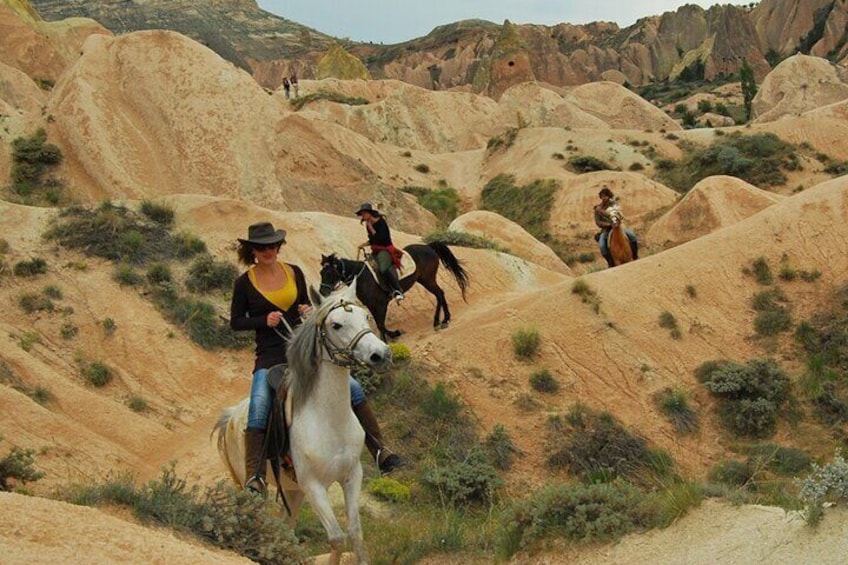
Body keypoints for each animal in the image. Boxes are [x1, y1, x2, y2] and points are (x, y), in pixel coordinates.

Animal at [215, 284, 394, 560]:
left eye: (365, 317)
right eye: (336, 325)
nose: (381, 355)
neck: (329, 420)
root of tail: (231, 416)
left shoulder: (352, 475)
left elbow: (355, 533)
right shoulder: (313, 485)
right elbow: (336, 538)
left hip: (293, 490)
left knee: (286, 526)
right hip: (254, 486)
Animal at [322, 241, 474, 340]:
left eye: (329, 273)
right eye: (321, 273)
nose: (323, 291)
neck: (362, 277)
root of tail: (428, 247)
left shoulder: (381, 304)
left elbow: (381, 324)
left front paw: (386, 341)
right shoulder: (372, 305)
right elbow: (380, 324)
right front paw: (394, 333)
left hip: (428, 279)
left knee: (440, 294)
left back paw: (444, 320)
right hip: (424, 280)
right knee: (439, 294)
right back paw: (438, 321)